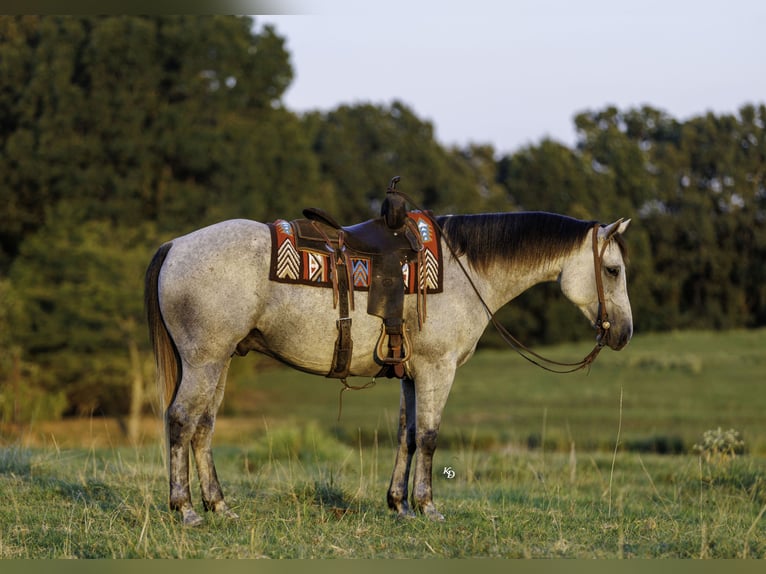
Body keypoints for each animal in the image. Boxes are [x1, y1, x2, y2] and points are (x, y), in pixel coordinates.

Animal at [145, 210, 633, 526]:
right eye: (612, 270)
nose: (625, 332)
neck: (463, 271)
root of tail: (175, 245)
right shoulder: (438, 370)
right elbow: (431, 437)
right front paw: (428, 507)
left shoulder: (412, 376)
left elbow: (408, 434)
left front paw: (399, 504)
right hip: (204, 361)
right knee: (182, 421)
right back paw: (185, 509)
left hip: (219, 363)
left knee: (204, 427)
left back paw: (219, 506)